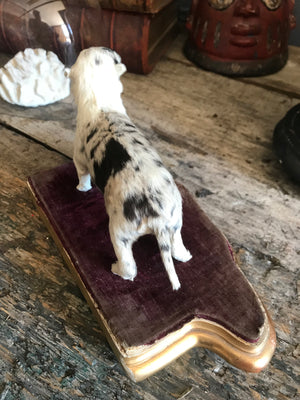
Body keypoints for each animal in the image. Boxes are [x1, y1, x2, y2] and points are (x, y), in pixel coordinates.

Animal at [70, 47, 191, 290]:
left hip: (119, 233)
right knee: (177, 248)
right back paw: (186, 254)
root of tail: (157, 218)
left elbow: (82, 176)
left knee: (129, 267)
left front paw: (81, 189)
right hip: (176, 222)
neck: (101, 104)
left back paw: (116, 268)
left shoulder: (79, 158)